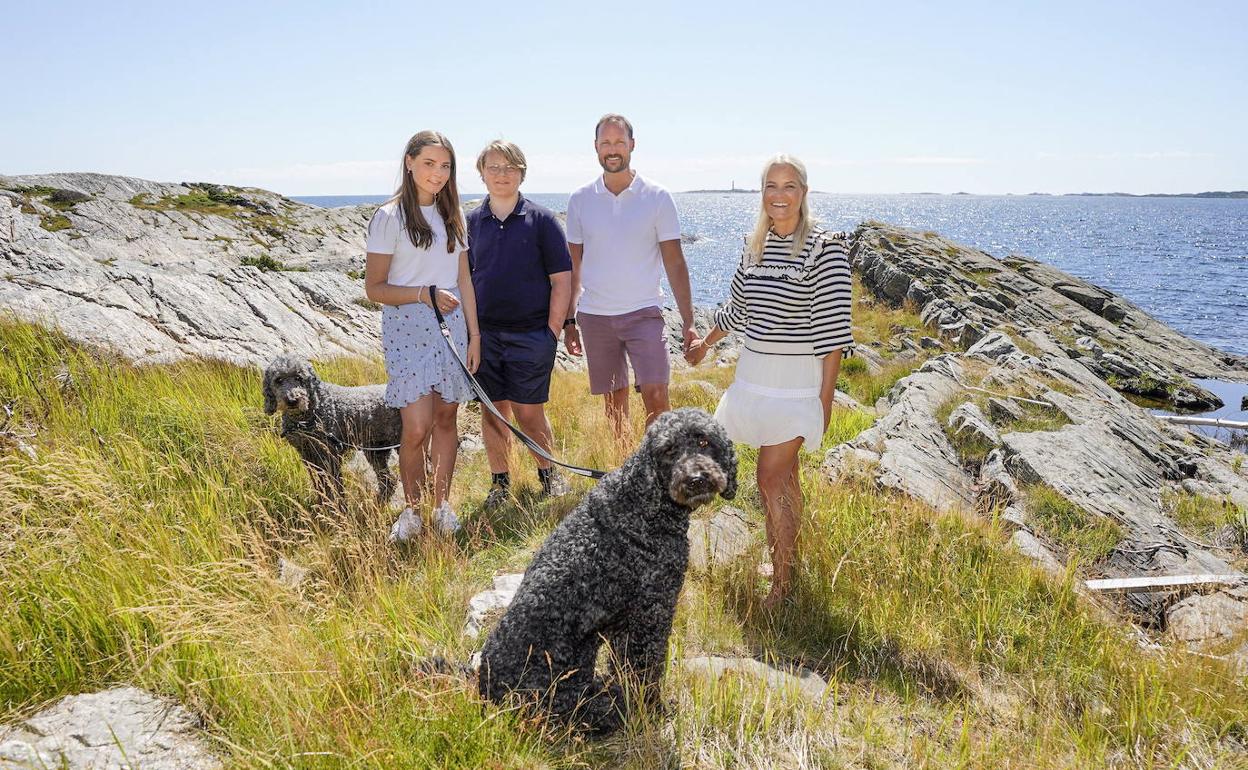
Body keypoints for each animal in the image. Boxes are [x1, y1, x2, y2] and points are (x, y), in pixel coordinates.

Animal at [260, 356, 401, 506]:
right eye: (279, 380)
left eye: (299, 377)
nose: (292, 400)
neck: (306, 418)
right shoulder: (308, 456)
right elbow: (320, 486)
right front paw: (323, 505)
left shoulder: (331, 455)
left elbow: (335, 487)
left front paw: (339, 508)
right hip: (376, 450)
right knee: (388, 480)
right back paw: (377, 503)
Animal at [474, 404, 728, 728]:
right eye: (669, 450)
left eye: (704, 441)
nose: (696, 478)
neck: (645, 501)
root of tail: (484, 690)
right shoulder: (652, 613)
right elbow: (647, 669)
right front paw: (653, 709)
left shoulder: (624, 625)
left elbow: (627, 667)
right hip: (561, 686)